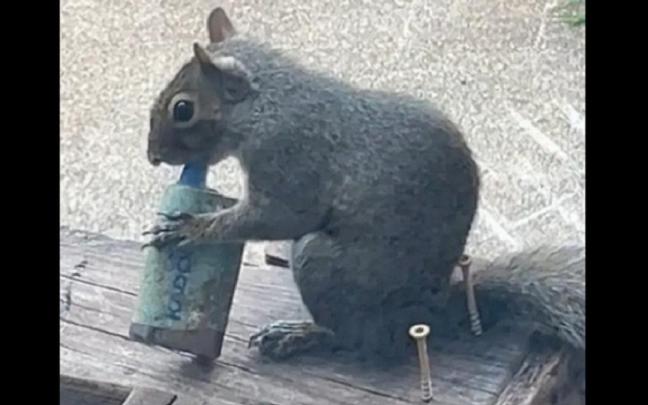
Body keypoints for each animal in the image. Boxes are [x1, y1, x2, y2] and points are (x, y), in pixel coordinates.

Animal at [145, 7, 585, 361]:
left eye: (183, 109)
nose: (152, 156)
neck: (268, 104)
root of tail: (432, 312)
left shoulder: (291, 158)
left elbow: (281, 217)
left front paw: (189, 228)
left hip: (324, 264)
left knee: (355, 340)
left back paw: (301, 335)